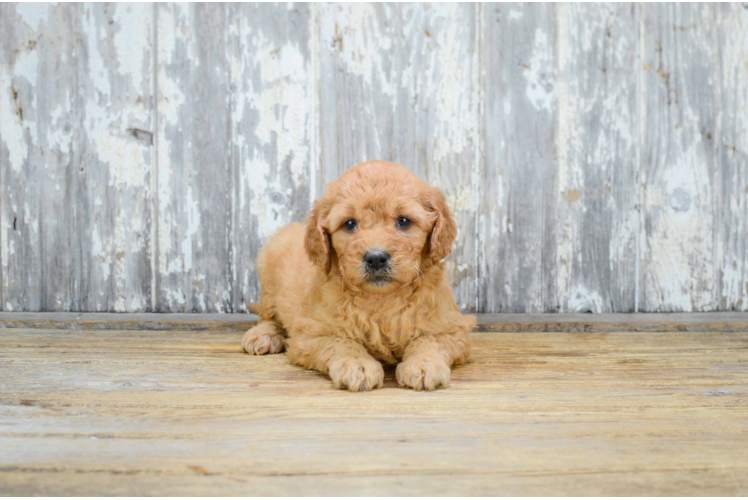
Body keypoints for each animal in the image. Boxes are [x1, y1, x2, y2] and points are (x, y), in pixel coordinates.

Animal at [243, 160, 476, 390]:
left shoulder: (451, 328)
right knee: (267, 315)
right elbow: (341, 342)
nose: (376, 258)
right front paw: (357, 365)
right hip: (269, 271)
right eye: (349, 223)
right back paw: (263, 335)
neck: (381, 299)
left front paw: (424, 364)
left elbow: (429, 340)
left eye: (403, 221)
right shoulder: (311, 334)